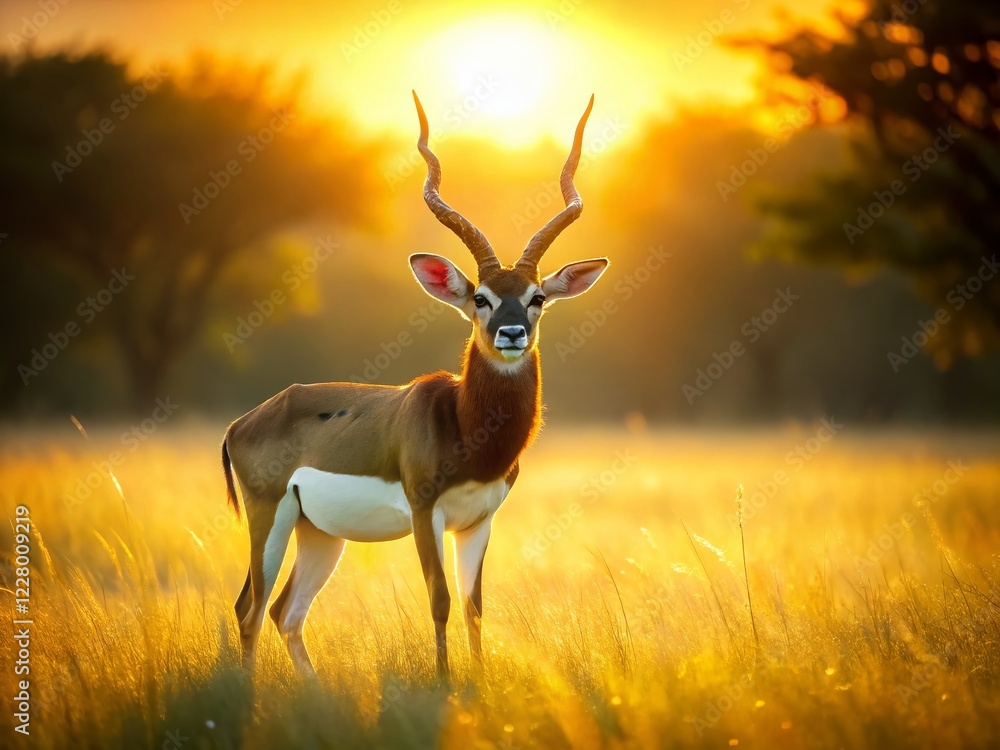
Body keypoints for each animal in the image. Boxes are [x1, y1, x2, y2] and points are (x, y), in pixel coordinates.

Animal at [221, 92, 608, 681]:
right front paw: (446, 685)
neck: (466, 426)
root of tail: (245, 421)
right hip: (272, 518)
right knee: (250, 606)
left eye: (538, 297)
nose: (512, 333)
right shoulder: (428, 514)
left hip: (320, 533)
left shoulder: (478, 522)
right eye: (481, 298)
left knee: (286, 610)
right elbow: (440, 600)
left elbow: (474, 606)